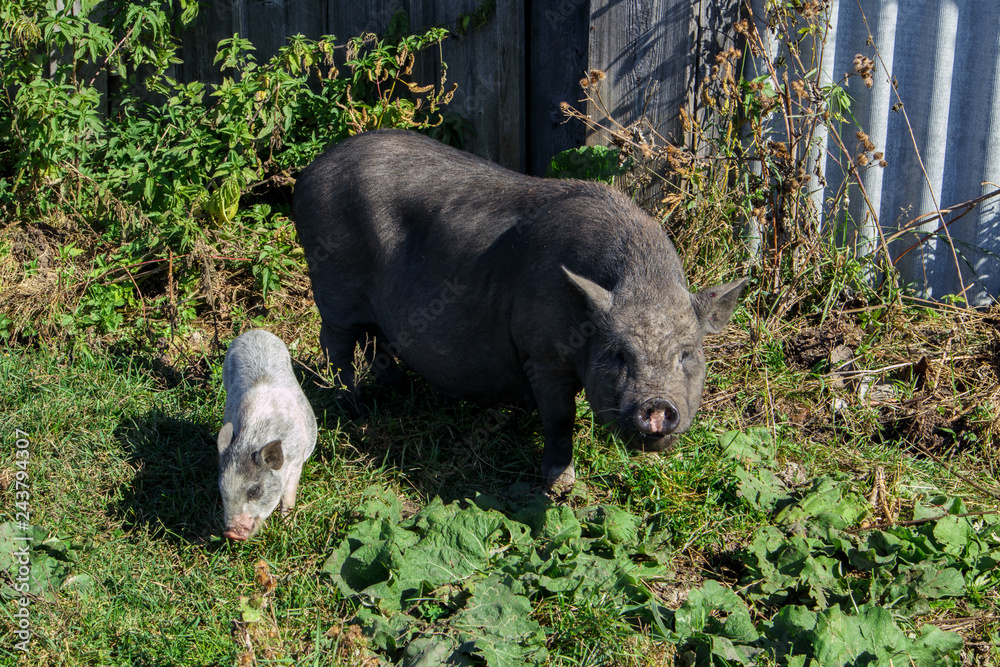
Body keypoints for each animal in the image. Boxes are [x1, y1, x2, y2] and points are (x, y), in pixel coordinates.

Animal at [217, 329, 317, 540]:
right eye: (222, 490)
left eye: (253, 491)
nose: (231, 533)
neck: (255, 436)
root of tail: (254, 331)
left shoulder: (296, 459)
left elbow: (289, 495)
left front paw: (287, 528)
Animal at [293, 129, 745, 488]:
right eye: (617, 354)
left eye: (686, 354)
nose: (656, 407)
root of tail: (311, 171)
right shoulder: (540, 354)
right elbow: (561, 420)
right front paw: (560, 487)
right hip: (333, 283)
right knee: (336, 343)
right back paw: (353, 408)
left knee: (377, 341)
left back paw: (400, 392)